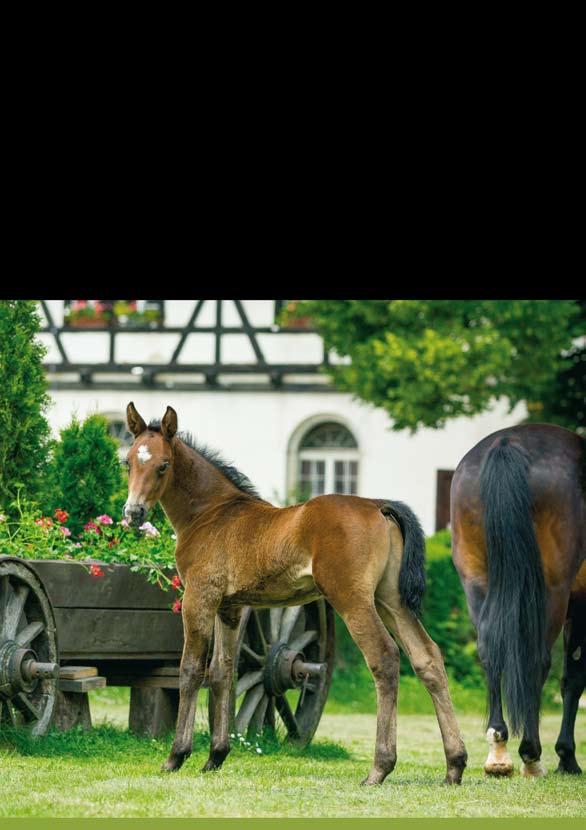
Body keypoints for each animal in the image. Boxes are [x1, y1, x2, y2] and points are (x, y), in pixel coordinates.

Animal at [123, 404, 466, 788]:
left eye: (163, 465)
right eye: (128, 461)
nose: (133, 513)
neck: (211, 513)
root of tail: (379, 505)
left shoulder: (200, 597)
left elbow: (191, 669)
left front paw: (176, 756)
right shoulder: (230, 607)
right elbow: (223, 671)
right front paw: (215, 757)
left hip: (352, 599)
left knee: (385, 657)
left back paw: (380, 767)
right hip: (391, 600)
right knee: (427, 658)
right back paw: (454, 765)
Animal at [450, 426, 580, 776]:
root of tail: (508, 443)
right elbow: (573, 678)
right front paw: (567, 757)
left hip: (476, 581)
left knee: (489, 650)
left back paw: (498, 748)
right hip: (551, 591)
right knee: (537, 660)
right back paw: (531, 754)